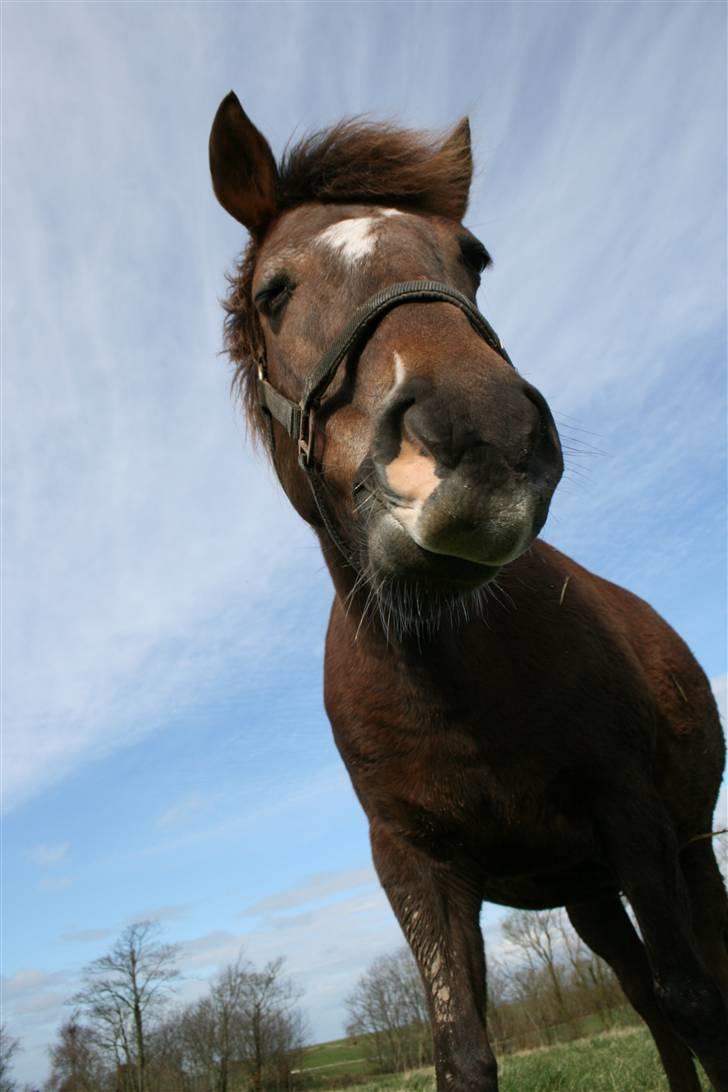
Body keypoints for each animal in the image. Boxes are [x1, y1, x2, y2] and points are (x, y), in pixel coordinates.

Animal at [207, 96, 724, 1092]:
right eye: (273, 292)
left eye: (471, 258)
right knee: (643, 998)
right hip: (588, 891)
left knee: (683, 990)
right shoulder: (418, 870)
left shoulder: (635, 818)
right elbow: (464, 1052)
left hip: (680, 852)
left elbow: (697, 996)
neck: (449, 675)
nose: (481, 436)